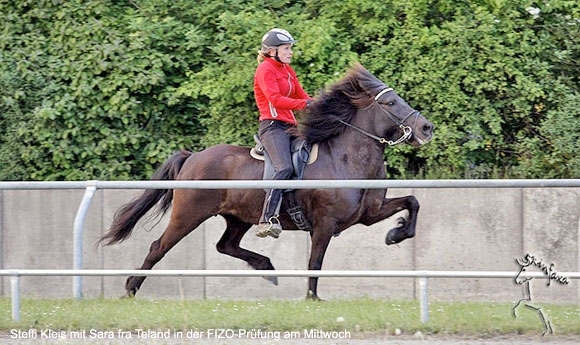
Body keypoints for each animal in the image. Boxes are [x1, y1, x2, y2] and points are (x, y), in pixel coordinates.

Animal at [99, 63, 432, 300]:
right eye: (391, 103)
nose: (426, 128)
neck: (346, 158)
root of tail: (192, 157)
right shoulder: (325, 224)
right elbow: (315, 262)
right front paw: (312, 298)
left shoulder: (368, 213)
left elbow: (413, 202)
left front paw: (396, 234)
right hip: (189, 214)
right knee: (159, 246)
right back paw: (130, 288)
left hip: (238, 218)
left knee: (225, 245)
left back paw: (267, 268)